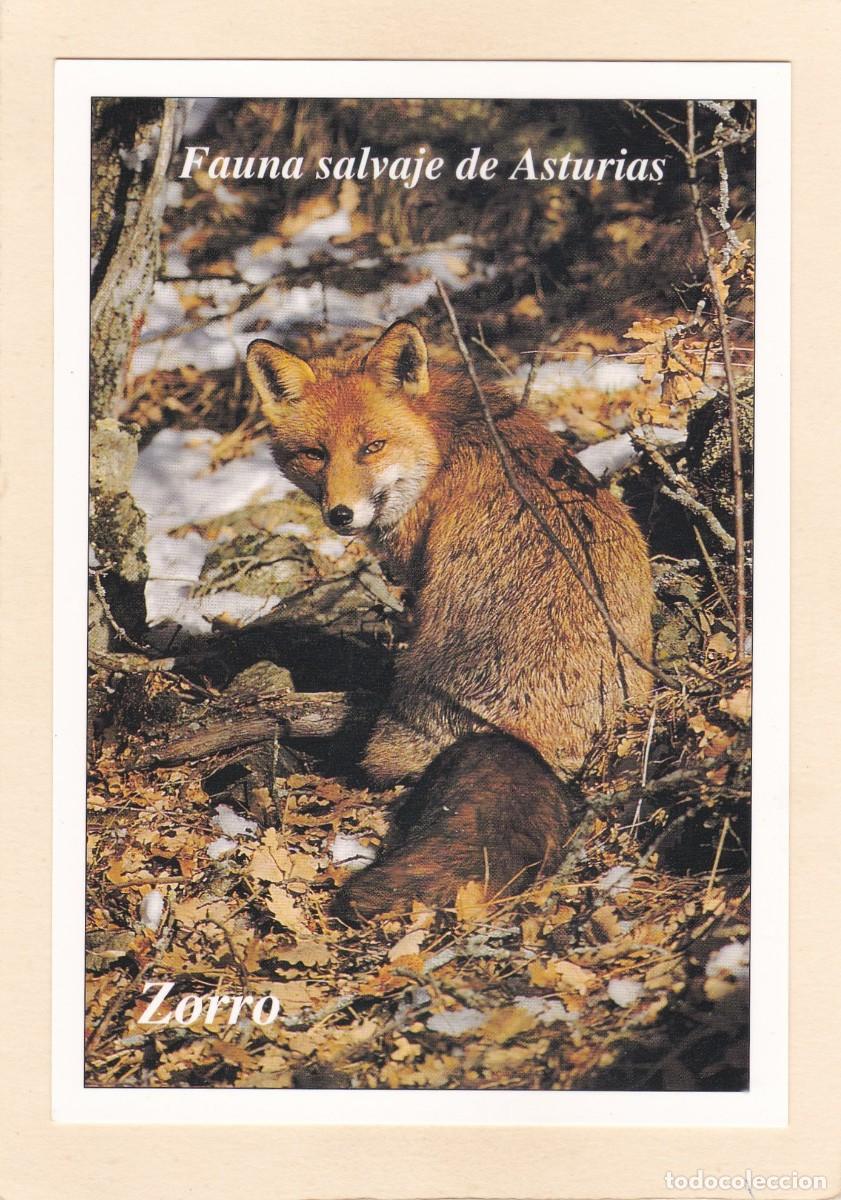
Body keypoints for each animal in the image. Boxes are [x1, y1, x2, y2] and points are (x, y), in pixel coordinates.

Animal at [246, 320, 654, 918]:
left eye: (372, 446)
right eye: (315, 453)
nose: (341, 515)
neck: (442, 442)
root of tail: (530, 745)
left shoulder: (418, 578)